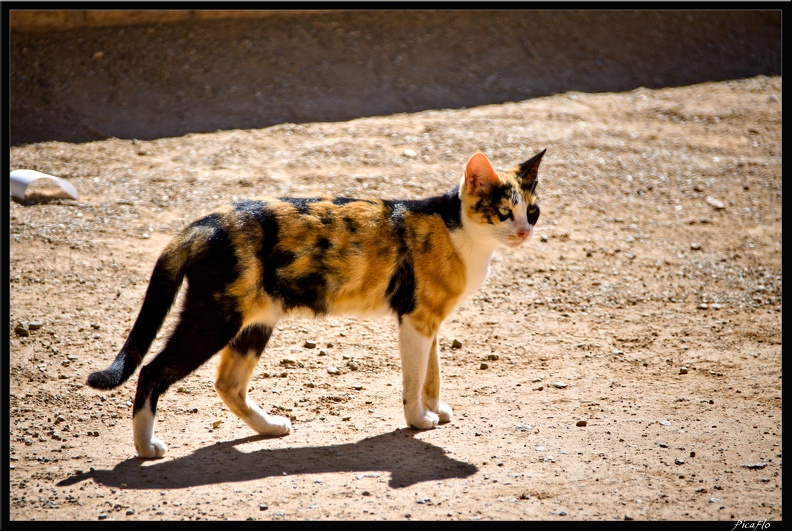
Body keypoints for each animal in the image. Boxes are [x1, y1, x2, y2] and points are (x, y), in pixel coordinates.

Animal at [86, 150, 544, 458]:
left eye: (533, 211)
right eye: (504, 212)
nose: (524, 232)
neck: (457, 229)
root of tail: (205, 221)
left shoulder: (430, 321)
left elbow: (434, 374)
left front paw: (435, 410)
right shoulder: (416, 319)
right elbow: (414, 380)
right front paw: (418, 420)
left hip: (255, 322)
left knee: (228, 384)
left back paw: (269, 427)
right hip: (213, 319)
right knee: (151, 371)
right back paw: (146, 447)